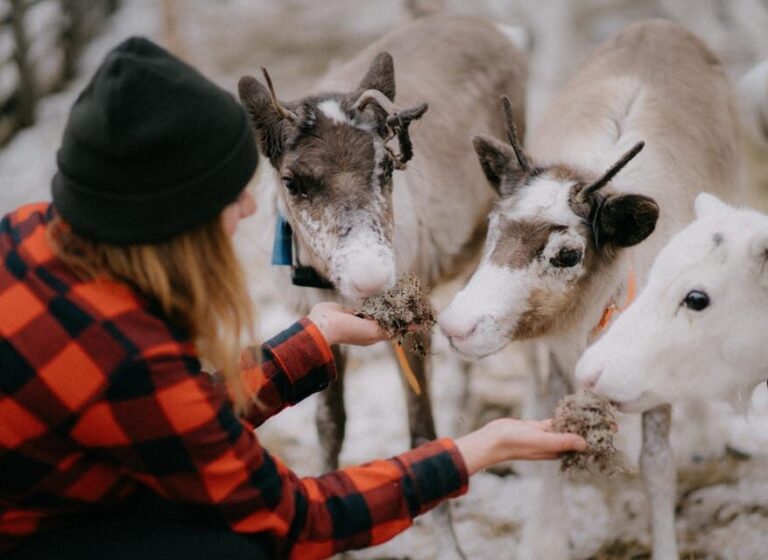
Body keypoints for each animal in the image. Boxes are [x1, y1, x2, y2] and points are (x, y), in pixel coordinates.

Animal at [237, 14, 527, 558]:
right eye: (292, 182)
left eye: (387, 166)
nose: (370, 273)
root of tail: (491, 25)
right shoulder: (315, 318)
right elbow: (331, 424)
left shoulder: (415, 325)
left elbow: (423, 431)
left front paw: (448, 544)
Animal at [438, 19, 743, 559]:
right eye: (495, 225)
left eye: (567, 254)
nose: (457, 325)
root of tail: (659, 23)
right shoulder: (555, 359)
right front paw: (543, 541)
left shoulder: (651, 363)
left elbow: (658, 468)